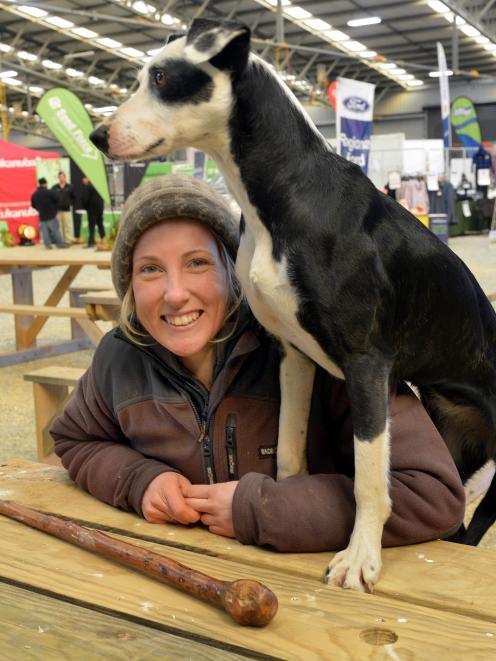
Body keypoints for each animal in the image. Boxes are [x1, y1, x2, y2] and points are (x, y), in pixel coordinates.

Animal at [91, 20, 496, 592]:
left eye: (164, 78)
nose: (97, 137)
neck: (282, 196)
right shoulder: (294, 354)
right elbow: (288, 448)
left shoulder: (367, 364)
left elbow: (369, 478)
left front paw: (360, 558)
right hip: (455, 438)